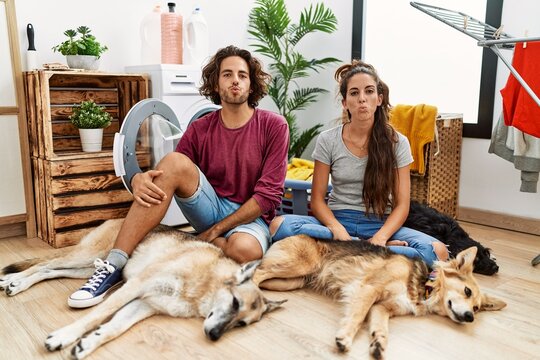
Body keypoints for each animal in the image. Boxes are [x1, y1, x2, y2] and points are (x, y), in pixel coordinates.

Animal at [0, 219, 284, 360]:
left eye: (241, 325)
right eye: (235, 303)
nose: (214, 336)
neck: (205, 283)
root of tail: (118, 218)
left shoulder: (143, 305)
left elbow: (113, 328)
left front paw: (88, 344)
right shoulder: (135, 287)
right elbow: (94, 316)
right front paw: (65, 335)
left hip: (84, 267)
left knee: (49, 270)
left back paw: (15, 282)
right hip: (87, 256)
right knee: (44, 264)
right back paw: (12, 281)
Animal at [253, 235, 506, 358]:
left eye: (476, 309)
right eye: (467, 291)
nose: (470, 318)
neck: (423, 284)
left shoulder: (382, 308)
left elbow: (381, 327)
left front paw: (378, 344)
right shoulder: (368, 289)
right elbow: (356, 317)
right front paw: (344, 338)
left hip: (292, 281)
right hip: (297, 266)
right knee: (256, 273)